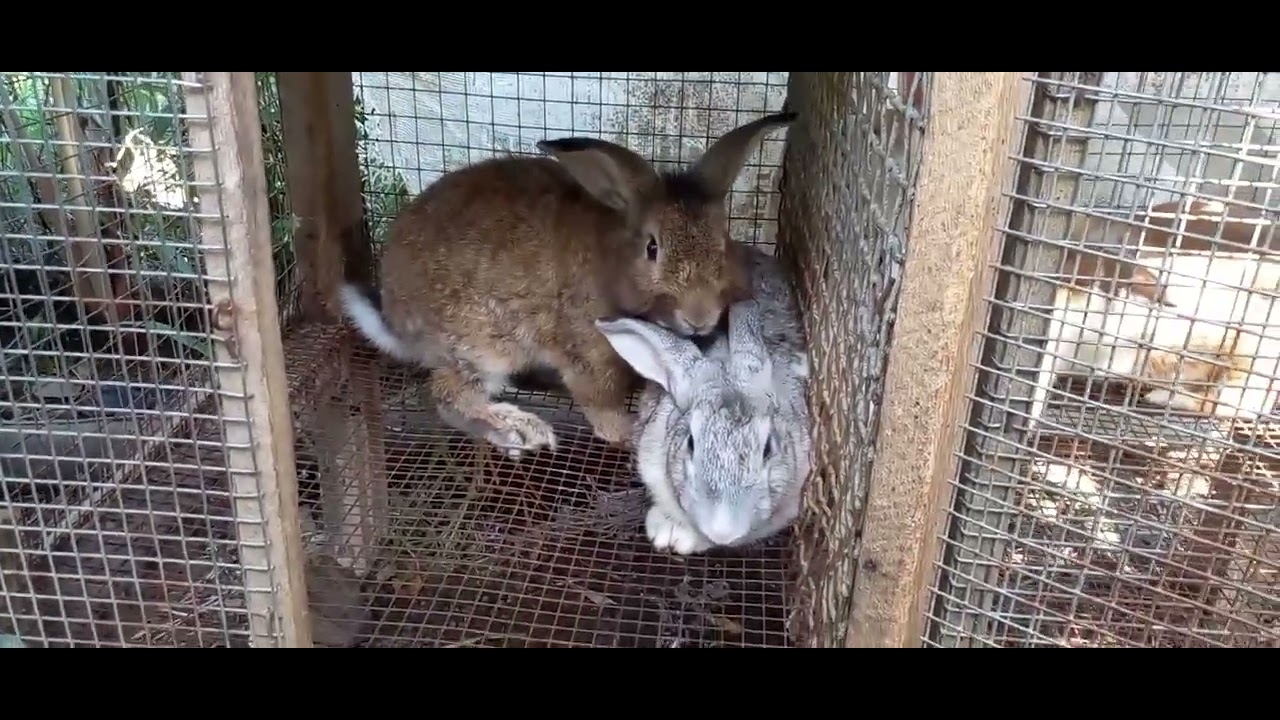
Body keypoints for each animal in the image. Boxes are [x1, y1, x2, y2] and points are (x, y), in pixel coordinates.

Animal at [339, 111, 797, 458]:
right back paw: (518, 431)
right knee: (450, 396)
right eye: (652, 248)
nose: (700, 316)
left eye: (723, 241)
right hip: (483, 344)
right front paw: (625, 431)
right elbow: (599, 400)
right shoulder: (590, 351)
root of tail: (396, 321)